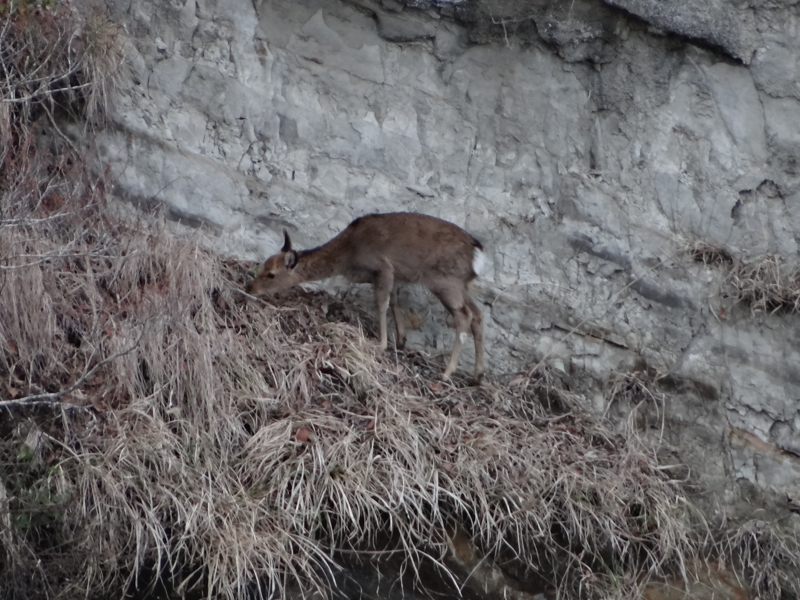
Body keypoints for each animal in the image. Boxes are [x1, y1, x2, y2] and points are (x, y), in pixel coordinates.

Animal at [244, 212, 484, 380]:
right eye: (264, 264)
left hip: (445, 281)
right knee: (477, 314)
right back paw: (477, 375)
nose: (250, 287)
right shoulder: (392, 273)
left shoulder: (383, 266)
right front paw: (401, 339)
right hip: (461, 285)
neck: (348, 256)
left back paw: (447, 373)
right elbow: (394, 299)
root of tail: (477, 251)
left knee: (464, 316)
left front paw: (382, 343)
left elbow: (382, 302)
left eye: (271, 274)